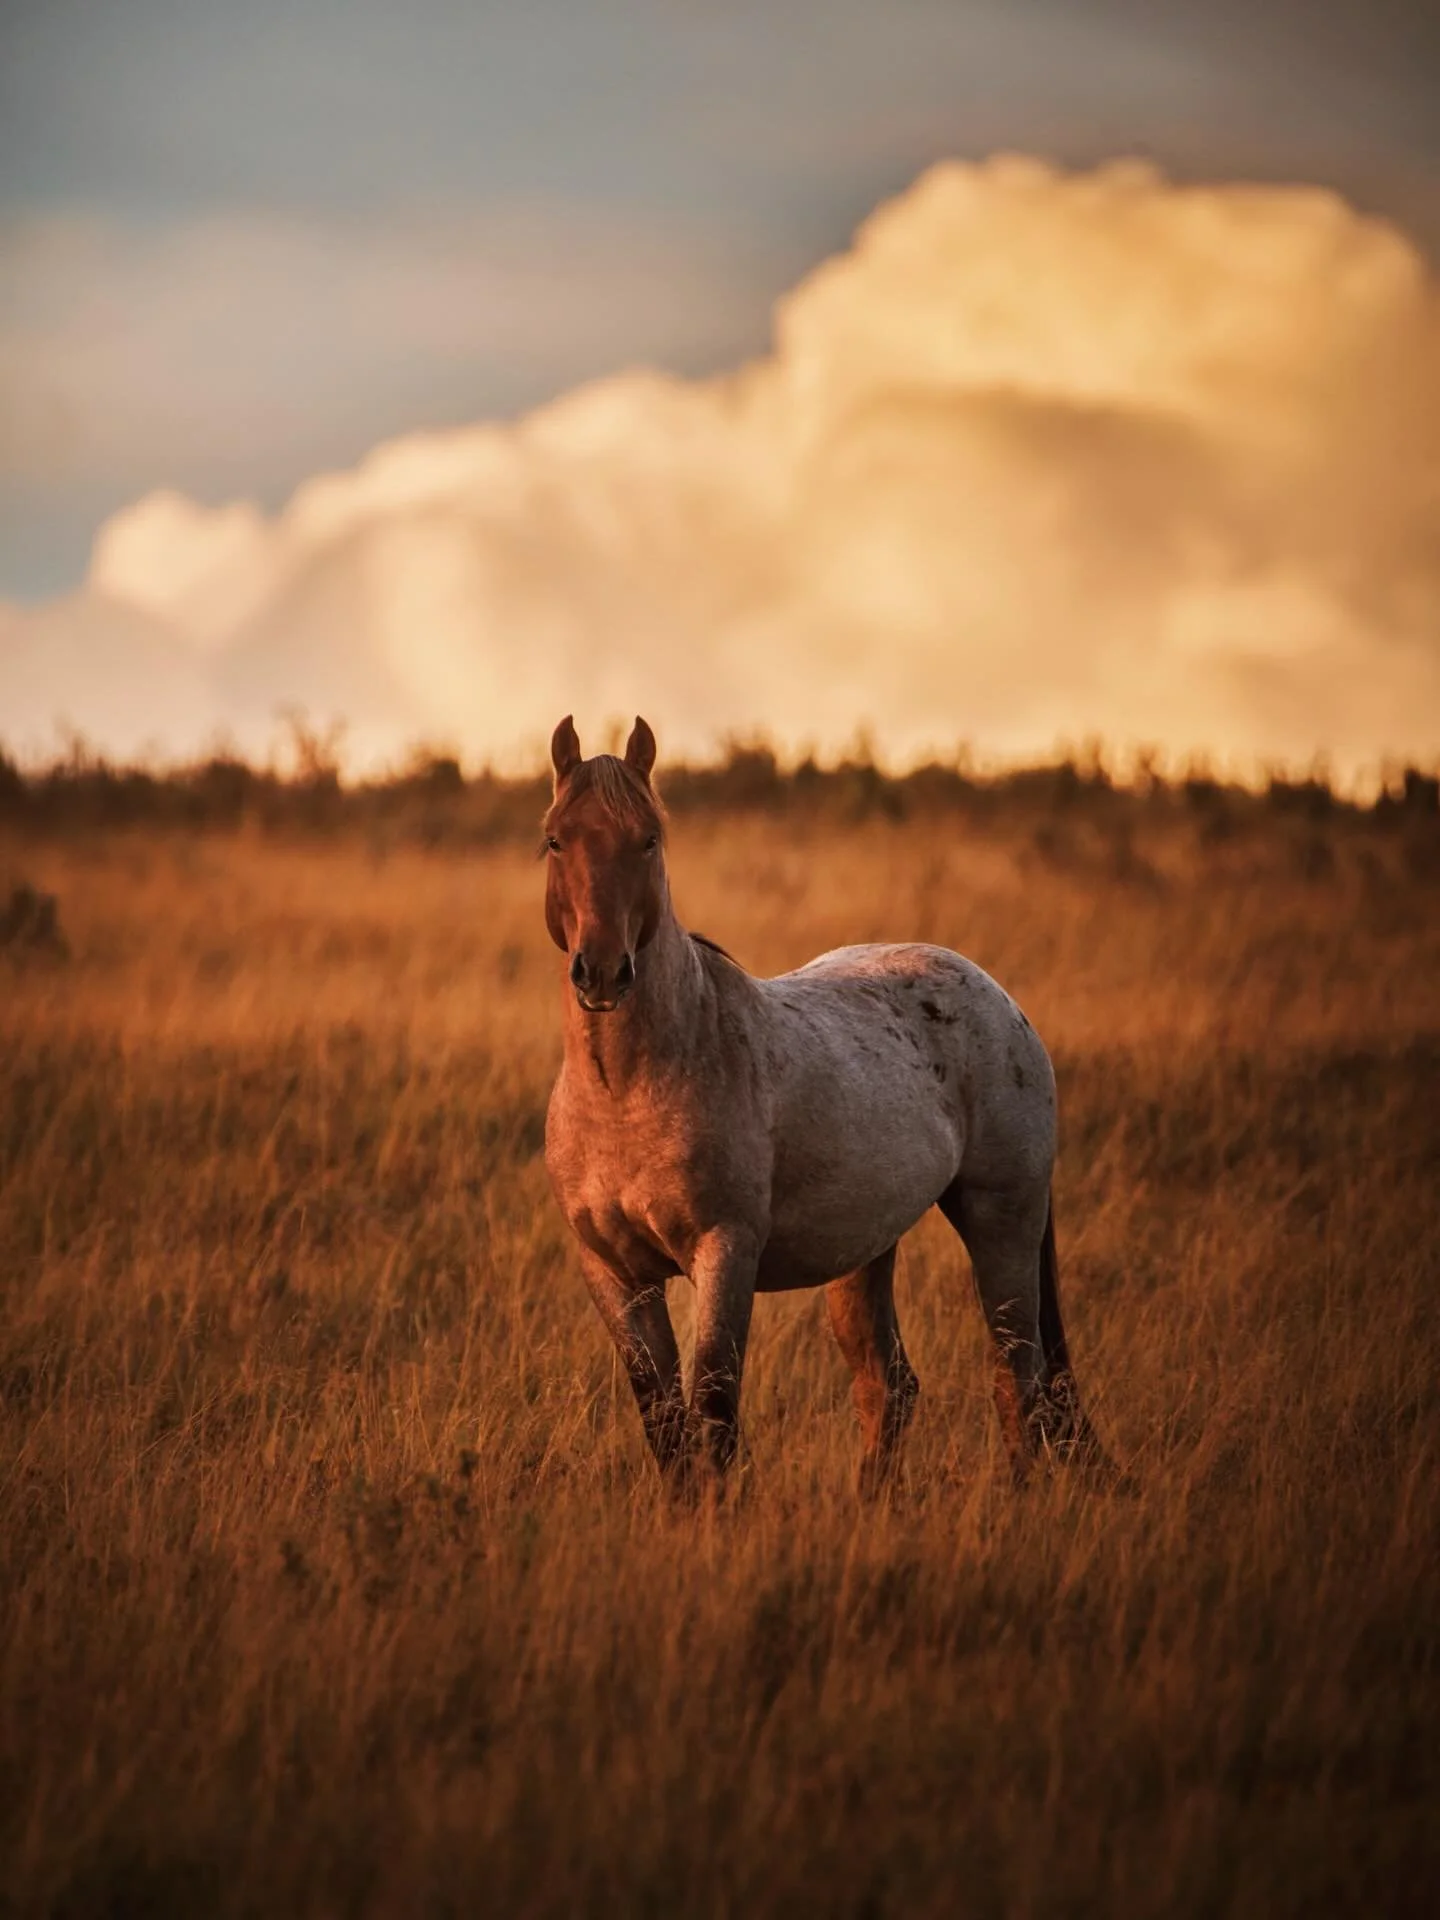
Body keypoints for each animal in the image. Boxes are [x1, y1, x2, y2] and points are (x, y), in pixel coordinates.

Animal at [541, 715, 1107, 1493]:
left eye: (648, 839)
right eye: (556, 838)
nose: (601, 972)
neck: (626, 1089)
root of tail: (1001, 998)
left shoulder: (725, 1252)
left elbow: (714, 1410)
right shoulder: (615, 1273)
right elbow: (664, 1423)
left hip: (1002, 1218)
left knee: (1016, 1380)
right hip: (865, 1250)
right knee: (890, 1386)